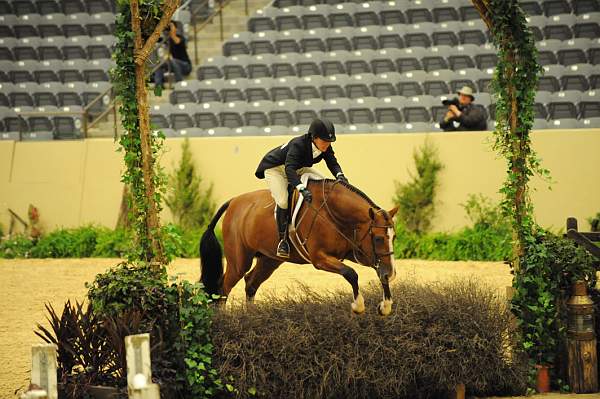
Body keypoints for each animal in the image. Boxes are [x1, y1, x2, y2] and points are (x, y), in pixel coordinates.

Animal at [200, 180, 398, 316]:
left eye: (394, 237)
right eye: (379, 238)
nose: (392, 274)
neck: (334, 214)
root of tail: (234, 201)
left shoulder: (358, 252)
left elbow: (378, 271)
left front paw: (386, 305)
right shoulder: (320, 258)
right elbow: (351, 273)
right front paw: (358, 305)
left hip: (269, 260)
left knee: (250, 283)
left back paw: (252, 317)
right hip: (239, 261)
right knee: (223, 288)